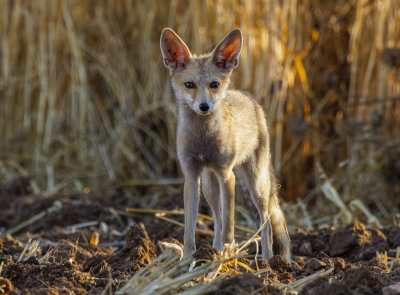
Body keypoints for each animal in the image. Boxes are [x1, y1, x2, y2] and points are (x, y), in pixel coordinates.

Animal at [159, 28, 290, 262]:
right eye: (189, 85)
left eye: (214, 85)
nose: (204, 106)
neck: (204, 140)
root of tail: (248, 97)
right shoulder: (191, 176)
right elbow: (190, 226)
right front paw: (189, 258)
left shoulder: (227, 175)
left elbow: (230, 224)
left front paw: (228, 254)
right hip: (210, 186)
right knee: (218, 218)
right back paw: (214, 249)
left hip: (255, 185)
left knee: (265, 221)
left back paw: (268, 261)